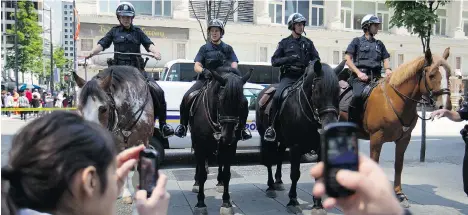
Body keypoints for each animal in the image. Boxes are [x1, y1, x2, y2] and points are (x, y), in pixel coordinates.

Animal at [338, 48, 452, 207]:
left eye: (447, 75)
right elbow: (375, 162)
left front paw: (399, 194)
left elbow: (399, 165)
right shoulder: (376, 137)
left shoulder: (404, 139)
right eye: (431, 75)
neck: (395, 100)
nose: (444, 106)